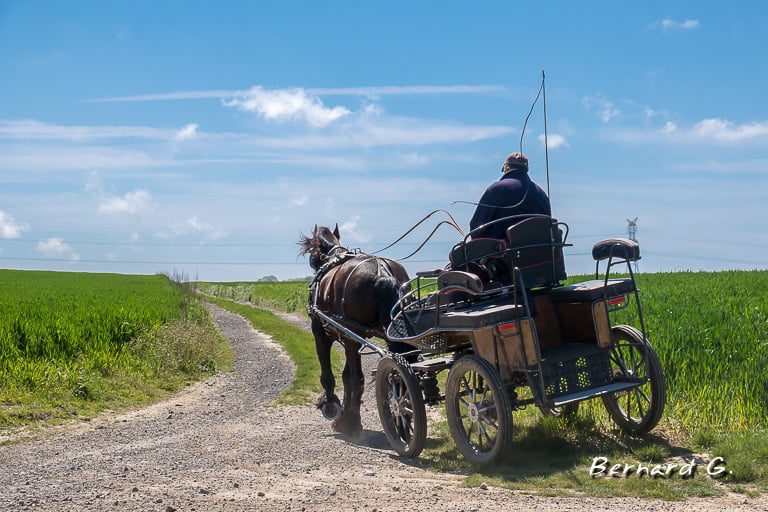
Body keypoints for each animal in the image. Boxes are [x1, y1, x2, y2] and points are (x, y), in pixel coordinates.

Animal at [296, 224, 412, 436]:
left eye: (311, 250)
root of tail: (383, 273)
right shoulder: (347, 336)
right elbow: (346, 376)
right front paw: (343, 412)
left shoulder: (321, 332)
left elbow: (330, 375)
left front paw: (331, 405)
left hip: (351, 336)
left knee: (358, 378)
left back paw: (352, 422)